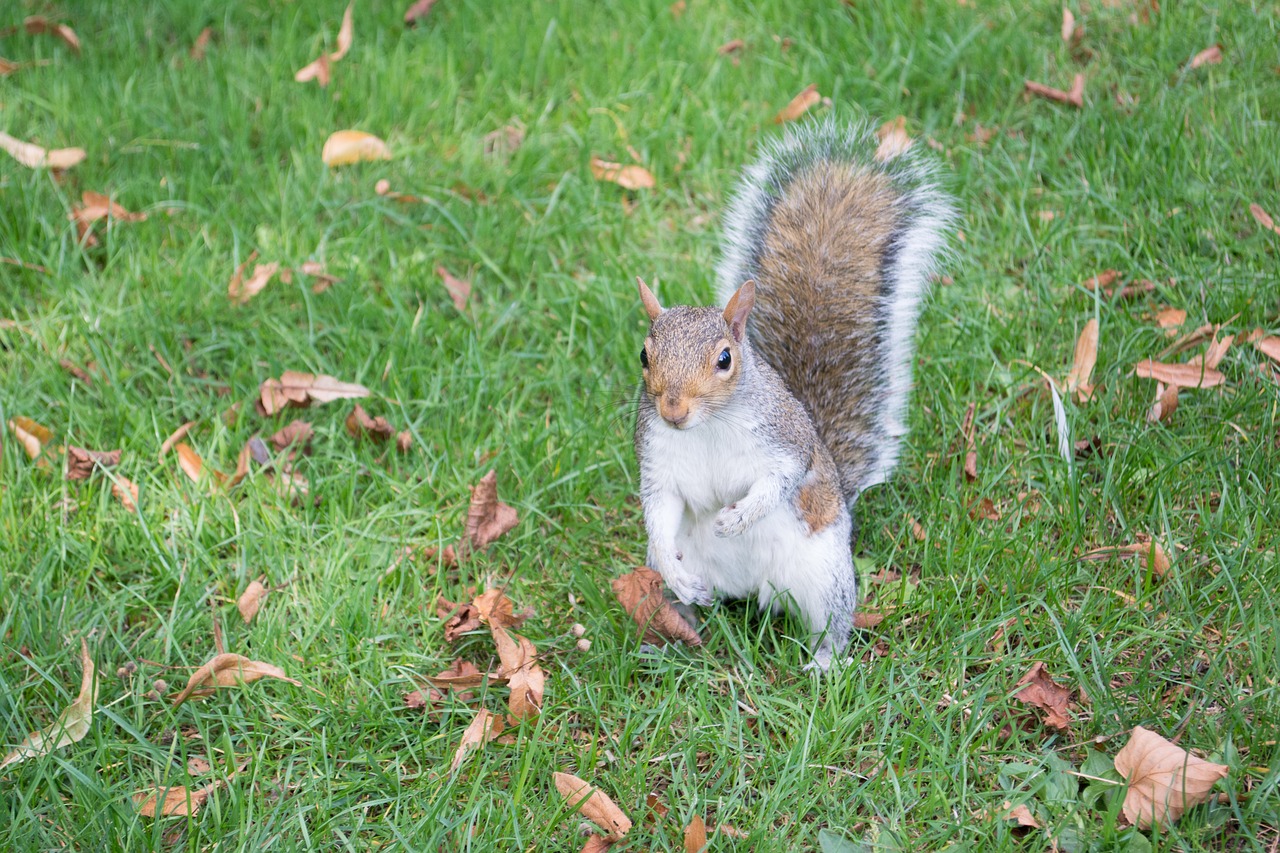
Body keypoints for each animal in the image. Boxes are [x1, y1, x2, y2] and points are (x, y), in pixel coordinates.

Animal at [634, 116, 957, 666]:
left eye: (725, 359)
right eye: (644, 356)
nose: (673, 410)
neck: (707, 428)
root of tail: (749, 589)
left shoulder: (786, 441)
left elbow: (780, 480)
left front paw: (739, 517)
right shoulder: (659, 460)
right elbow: (660, 510)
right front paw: (675, 558)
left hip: (823, 573)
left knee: (832, 623)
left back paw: (824, 663)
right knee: (685, 599)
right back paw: (676, 630)